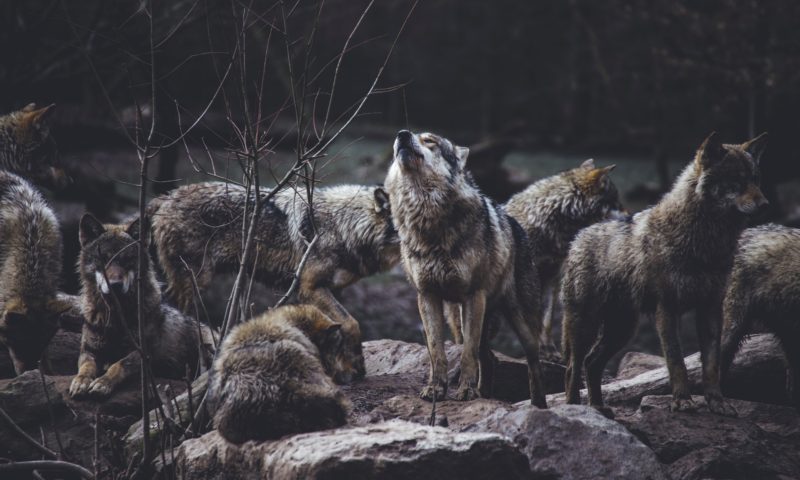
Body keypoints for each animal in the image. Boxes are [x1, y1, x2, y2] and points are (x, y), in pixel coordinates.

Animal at [69, 216, 216, 400]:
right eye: (104, 259)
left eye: (127, 260)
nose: (115, 285)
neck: (117, 317)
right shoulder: (89, 350)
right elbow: (86, 367)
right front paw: (80, 381)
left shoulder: (143, 353)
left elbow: (118, 365)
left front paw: (102, 383)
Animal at [148, 182, 400, 380]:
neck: (344, 225)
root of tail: (166, 196)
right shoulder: (310, 287)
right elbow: (352, 323)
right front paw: (356, 366)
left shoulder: (333, 290)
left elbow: (338, 329)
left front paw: (346, 368)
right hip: (195, 283)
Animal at [560, 132, 764, 416]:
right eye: (737, 180)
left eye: (755, 179)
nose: (765, 203)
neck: (704, 242)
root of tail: (580, 235)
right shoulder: (667, 309)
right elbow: (677, 361)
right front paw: (682, 401)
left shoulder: (711, 309)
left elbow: (712, 365)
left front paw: (717, 402)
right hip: (586, 325)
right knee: (573, 367)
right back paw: (575, 409)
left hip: (622, 330)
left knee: (592, 363)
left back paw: (599, 408)